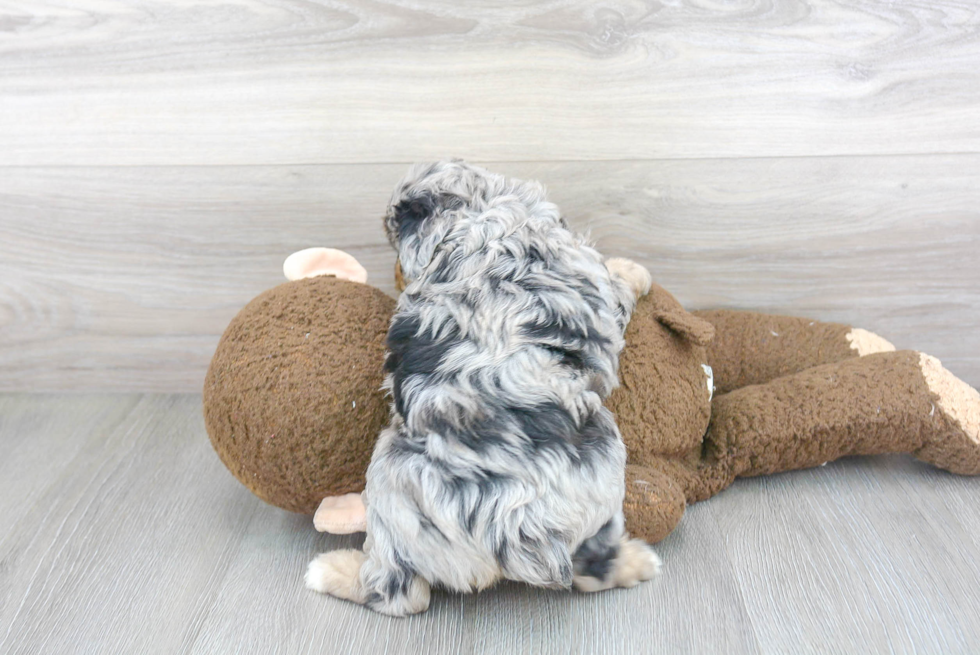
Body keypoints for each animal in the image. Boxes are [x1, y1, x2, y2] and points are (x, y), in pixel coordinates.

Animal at [306, 159, 660, 616]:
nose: (397, 277)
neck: (484, 211)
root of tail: (519, 526)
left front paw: (633, 270)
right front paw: (634, 269)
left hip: (391, 478)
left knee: (400, 592)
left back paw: (331, 570)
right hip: (604, 459)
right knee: (594, 567)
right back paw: (638, 561)